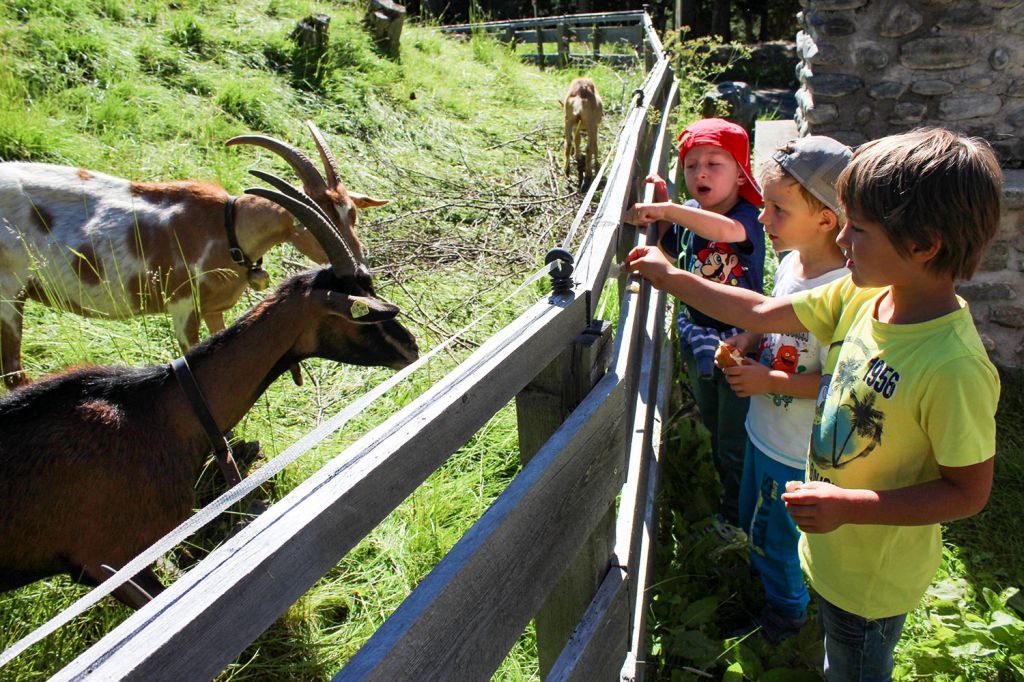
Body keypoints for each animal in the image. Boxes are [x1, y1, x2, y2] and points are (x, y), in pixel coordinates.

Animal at [0, 120, 387, 387]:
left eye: (352, 213)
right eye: (318, 219)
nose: (362, 270)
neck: (227, 228)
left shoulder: (215, 309)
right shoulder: (183, 307)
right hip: (8, 295)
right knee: (14, 374)